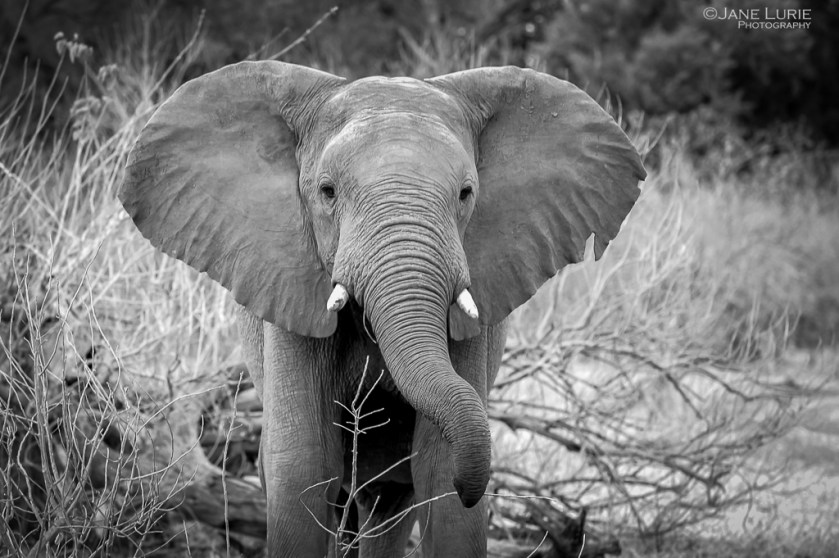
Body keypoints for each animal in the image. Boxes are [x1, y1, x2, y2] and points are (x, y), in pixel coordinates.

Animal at [119, 60, 645, 557]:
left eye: (466, 194)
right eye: (327, 191)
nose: (474, 487)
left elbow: (437, 477)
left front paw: (453, 485)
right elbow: (303, 466)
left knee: (387, 501)